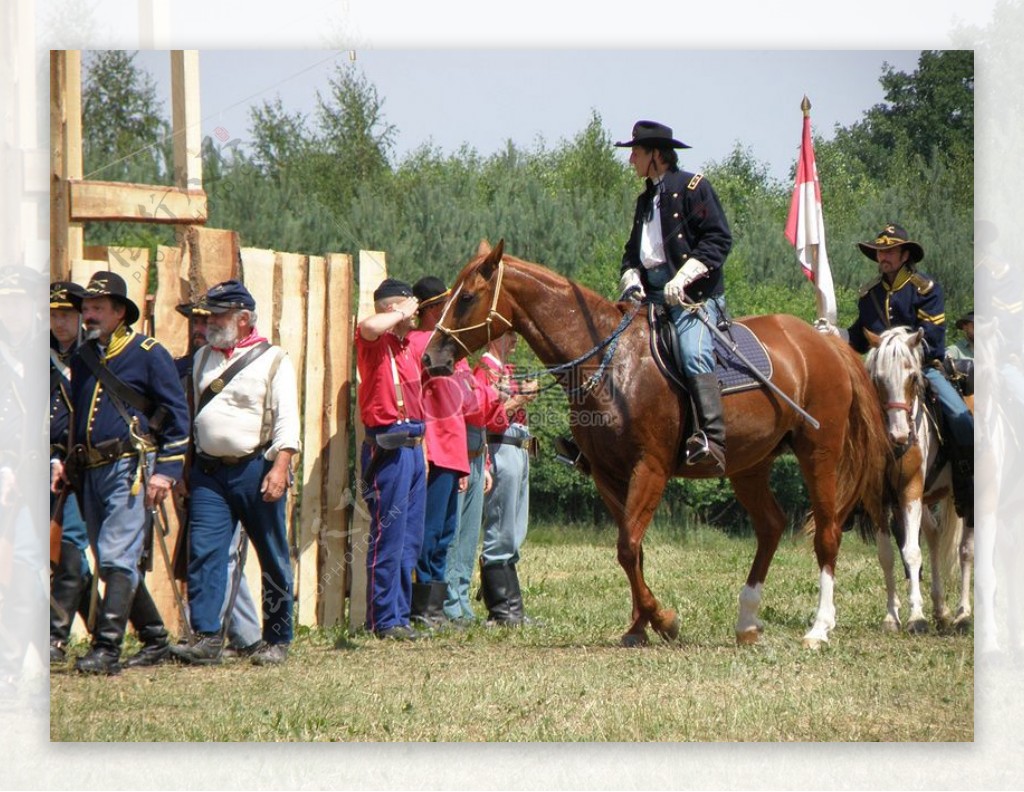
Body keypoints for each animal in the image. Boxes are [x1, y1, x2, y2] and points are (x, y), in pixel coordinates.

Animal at [419, 242, 892, 647]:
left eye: (467, 298)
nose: (429, 358)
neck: (611, 363)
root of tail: (823, 341)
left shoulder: (651, 466)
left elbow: (629, 546)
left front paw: (662, 620)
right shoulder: (608, 475)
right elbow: (634, 549)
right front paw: (640, 625)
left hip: (819, 453)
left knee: (827, 533)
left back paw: (819, 628)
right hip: (748, 465)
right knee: (771, 527)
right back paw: (747, 621)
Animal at [864, 325, 966, 631]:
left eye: (912, 377)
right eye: (877, 378)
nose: (899, 436)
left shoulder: (910, 490)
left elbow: (911, 551)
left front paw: (916, 617)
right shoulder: (879, 499)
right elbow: (886, 555)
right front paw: (891, 616)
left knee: (966, 549)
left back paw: (963, 614)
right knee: (934, 534)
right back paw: (941, 609)